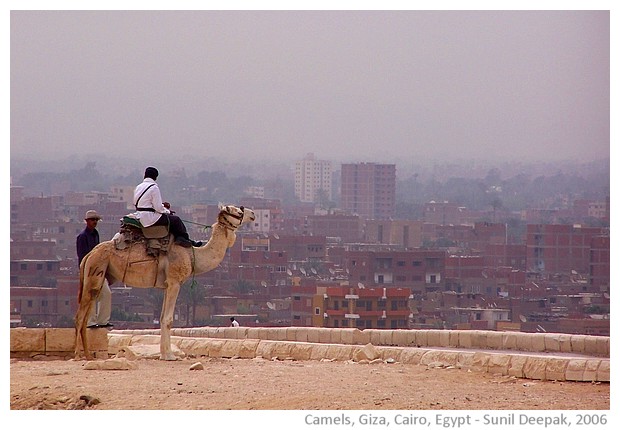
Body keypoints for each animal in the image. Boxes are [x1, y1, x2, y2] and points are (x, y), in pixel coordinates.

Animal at [74, 204, 254, 360]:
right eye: (238, 212)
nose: (252, 214)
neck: (192, 255)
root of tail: (89, 255)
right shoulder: (175, 282)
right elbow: (168, 319)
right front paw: (170, 356)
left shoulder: (167, 285)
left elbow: (161, 318)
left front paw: (164, 354)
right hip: (95, 271)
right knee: (80, 315)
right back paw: (77, 355)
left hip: (97, 277)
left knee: (86, 313)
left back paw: (88, 355)